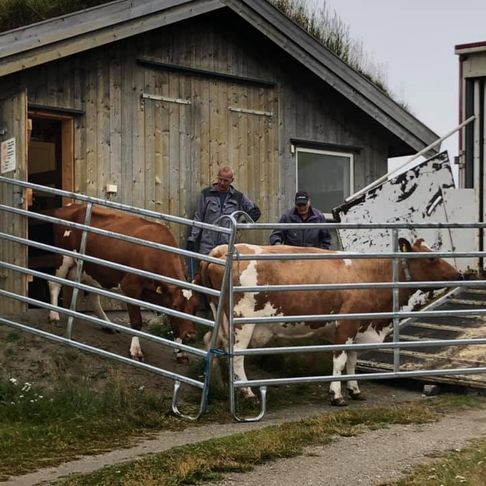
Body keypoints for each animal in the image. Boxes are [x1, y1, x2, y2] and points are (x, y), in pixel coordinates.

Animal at [46, 203, 197, 358]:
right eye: (176, 307)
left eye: (195, 309)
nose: (191, 336)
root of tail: (71, 205)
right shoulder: (131, 287)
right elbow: (136, 322)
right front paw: (135, 350)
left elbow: (175, 324)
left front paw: (180, 352)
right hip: (63, 257)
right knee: (54, 284)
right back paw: (54, 315)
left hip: (92, 269)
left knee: (93, 297)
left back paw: (107, 325)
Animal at [199, 240, 462, 406]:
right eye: (431, 257)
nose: (459, 274)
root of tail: (220, 251)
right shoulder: (345, 324)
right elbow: (340, 359)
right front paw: (337, 395)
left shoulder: (360, 327)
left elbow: (353, 361)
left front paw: (355, 390)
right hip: (242, 323)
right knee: (237, 356)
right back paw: (247, 392)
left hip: (220, 320)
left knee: (212, 344)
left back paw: (221, 386)